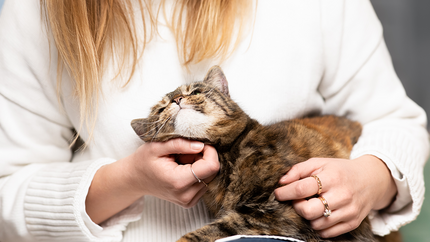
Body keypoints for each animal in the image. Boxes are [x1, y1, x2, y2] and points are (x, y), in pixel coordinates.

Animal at [130, 66, 376, 242]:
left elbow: (218, 228)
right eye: (161, 109)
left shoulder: (278, 212)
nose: (176, 100)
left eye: (195, 91)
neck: (225, 158)